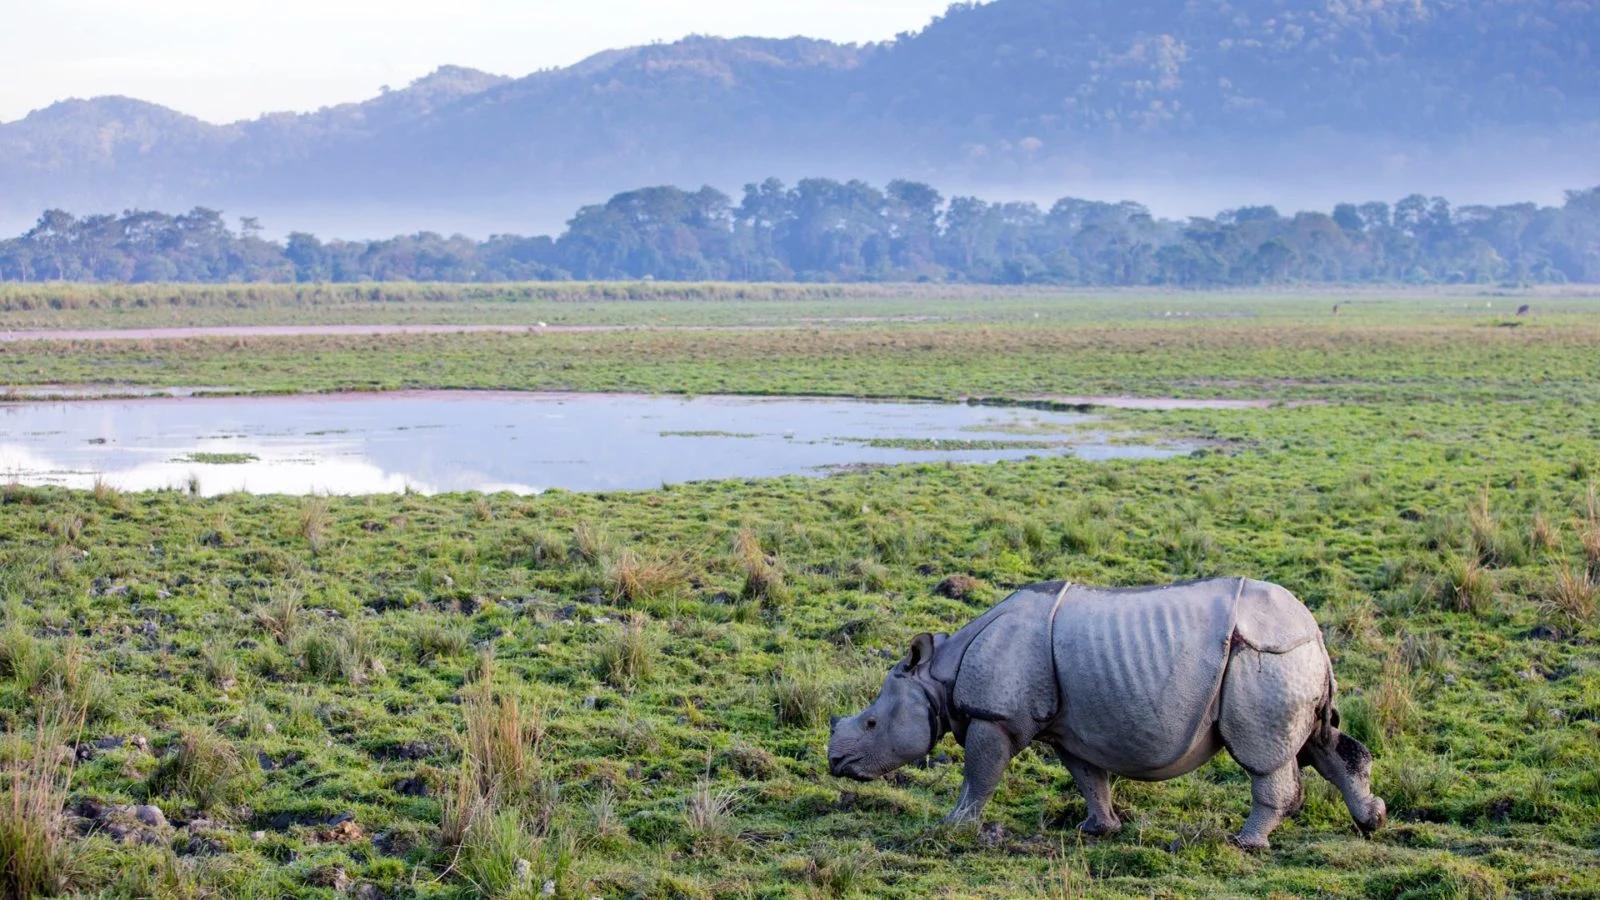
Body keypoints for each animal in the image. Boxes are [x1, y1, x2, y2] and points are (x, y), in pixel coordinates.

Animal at [827, 577, 1386, 849]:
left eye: (872, 724)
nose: (835, 763)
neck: (938, 676)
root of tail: (1314, 629)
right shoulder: (1069, 729)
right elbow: (1088, 778)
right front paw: (1098, 830)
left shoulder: (995, 717)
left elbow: (979, 776)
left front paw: (953, 826)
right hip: (1290, 659)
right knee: (1320, 743)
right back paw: (1372, 821)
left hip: (1264, 657)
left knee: (1264, 756)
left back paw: (1246, 843)